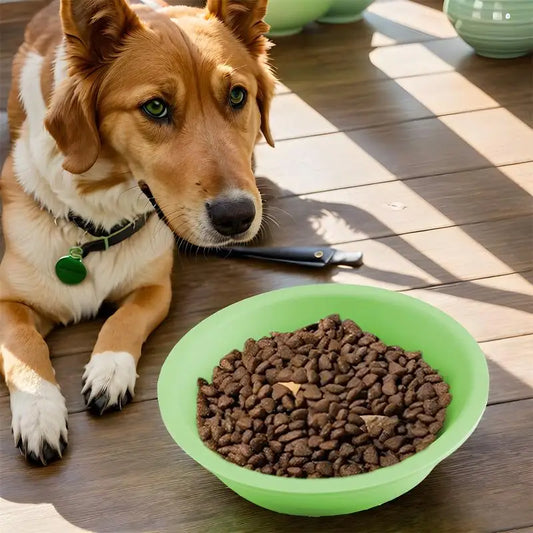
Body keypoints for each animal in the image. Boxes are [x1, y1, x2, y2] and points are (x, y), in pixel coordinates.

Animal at [0, 0, 274, 466]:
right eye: (156, 108)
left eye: (237, 96)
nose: (237, 217)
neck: (92, 227)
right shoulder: (5, 301)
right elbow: (24, 346)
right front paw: (39, 415)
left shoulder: (155, 287)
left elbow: (124, 320)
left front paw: (110, 369)